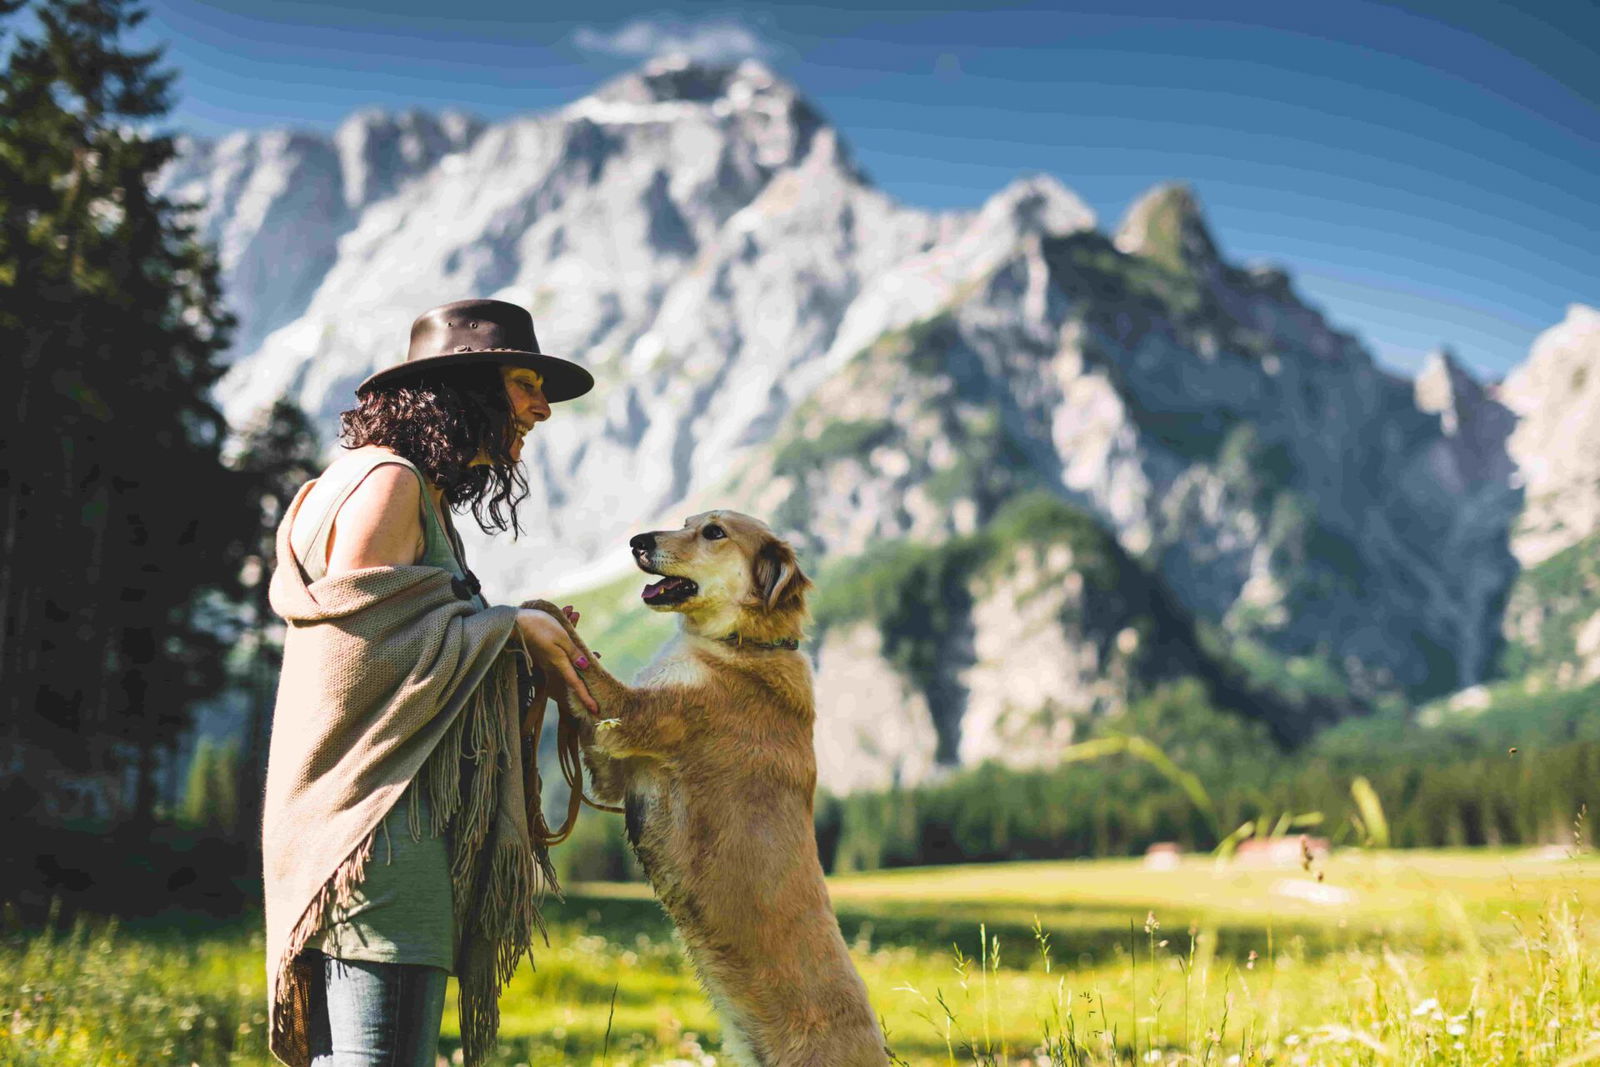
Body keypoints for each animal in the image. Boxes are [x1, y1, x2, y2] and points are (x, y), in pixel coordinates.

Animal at [550, 511, 889, 1067]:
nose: (636, 540)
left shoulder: (633, 716)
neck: (739, 644)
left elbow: (585, 669)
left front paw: (545, 616)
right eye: (686, 522)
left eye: (713, 532)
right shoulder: (614, 772)